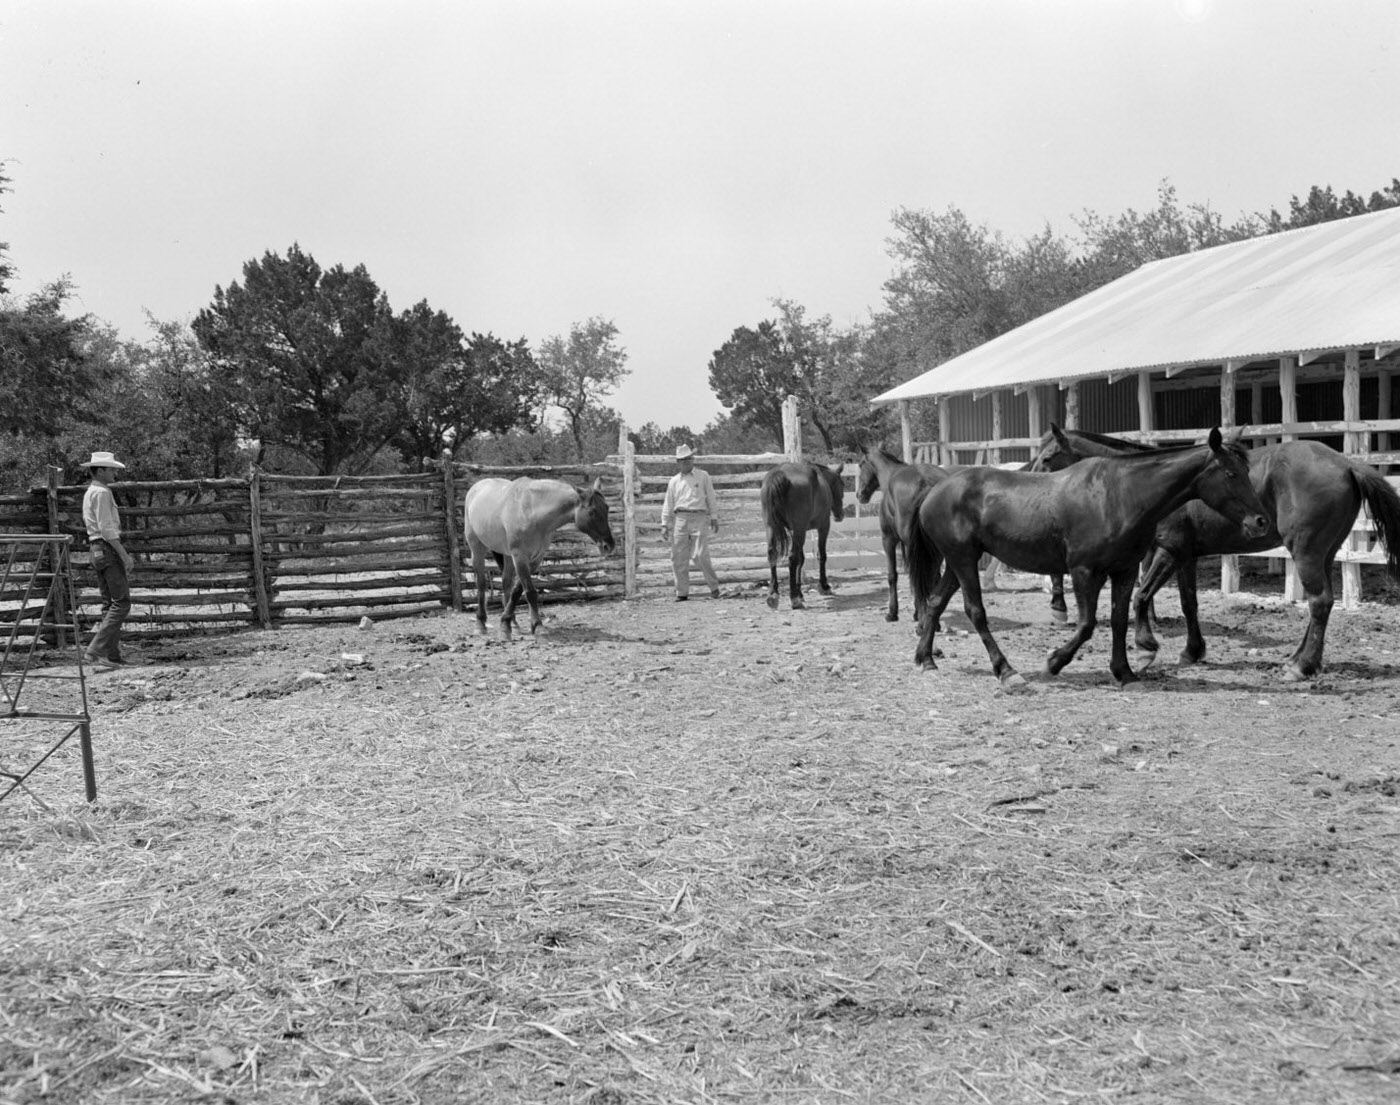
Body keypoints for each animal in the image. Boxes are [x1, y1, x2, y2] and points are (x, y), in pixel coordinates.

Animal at [462, 473, 616, 638]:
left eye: (607, 508)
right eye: (591, 511)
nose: (609, 545)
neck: (531, 511)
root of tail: (476, 487)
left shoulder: (535, 559)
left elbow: (517, 591)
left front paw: (508, 624)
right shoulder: (520, 557)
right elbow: (529, 591)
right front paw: (534, 625)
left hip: (507, 556)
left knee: (506, 583)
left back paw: (514, 624)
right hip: (477, 548)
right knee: (481, 584)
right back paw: (480, 624)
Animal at [761, 459, 845, 607]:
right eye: (842, 485)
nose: (840, 515)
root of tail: (780, 473)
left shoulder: (797, 531)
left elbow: (802, 559)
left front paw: (800, 592)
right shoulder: (823, 527)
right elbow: (821, 555)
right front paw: (824, 586)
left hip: (771, 526)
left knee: (772, 554)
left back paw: (773, 595)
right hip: (800, 529)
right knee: (792, 558)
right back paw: (793, 598)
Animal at [901, 425, 1276, 686]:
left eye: (1245, 472)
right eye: (1230, 473)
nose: (1260, 521)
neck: (1120, 496)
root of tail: (936, 489)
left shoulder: (1125, 570)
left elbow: (1120, 620)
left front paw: (1125, 672)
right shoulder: (1084, 571)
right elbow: (1087, 624)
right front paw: (1054, 662)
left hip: (957, 563)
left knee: (934, 603)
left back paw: (925, 659)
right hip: (964, 561)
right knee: (975, 612)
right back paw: (1007, 671)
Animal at [1030, 425, 1400, 677]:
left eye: (1047, 458)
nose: (1033, 490)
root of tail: (1346, 464)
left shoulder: (1169, 551)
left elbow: (1141, 596)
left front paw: (1146, 647)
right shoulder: (1185, 556)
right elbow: (1188, 603)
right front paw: (1192, 651)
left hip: (1306, 552)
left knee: (1319, 602)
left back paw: (1302, 666)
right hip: (1324, 553)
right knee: (1320, 604)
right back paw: (1299, 659)